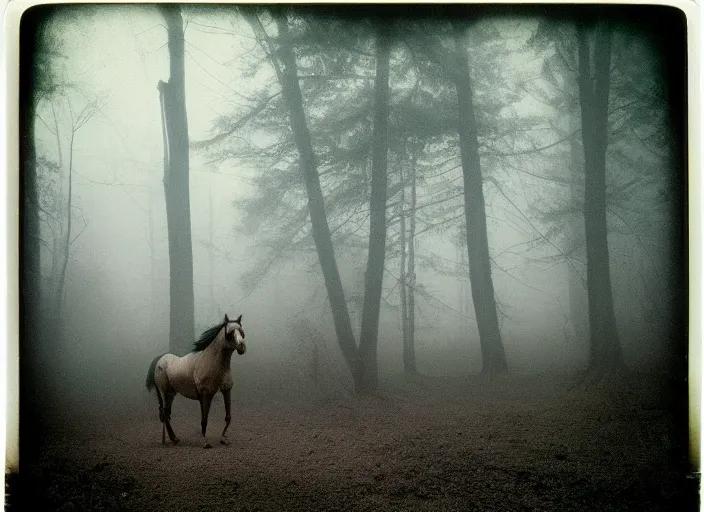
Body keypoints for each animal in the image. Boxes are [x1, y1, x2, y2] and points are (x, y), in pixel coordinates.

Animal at [144, 312, 246, 448]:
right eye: (229, 332)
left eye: (241, 331)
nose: (242, 347)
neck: (211, 362)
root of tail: (160, 359)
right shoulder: (205, 394)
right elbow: (204, 420)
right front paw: (206, 442)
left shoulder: (226, 390)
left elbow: (228, 417)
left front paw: (223, 439)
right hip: (164, 392)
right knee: (165, 414)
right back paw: (172, 438)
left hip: (171, 393)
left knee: (166, 414)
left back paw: (173, 438)